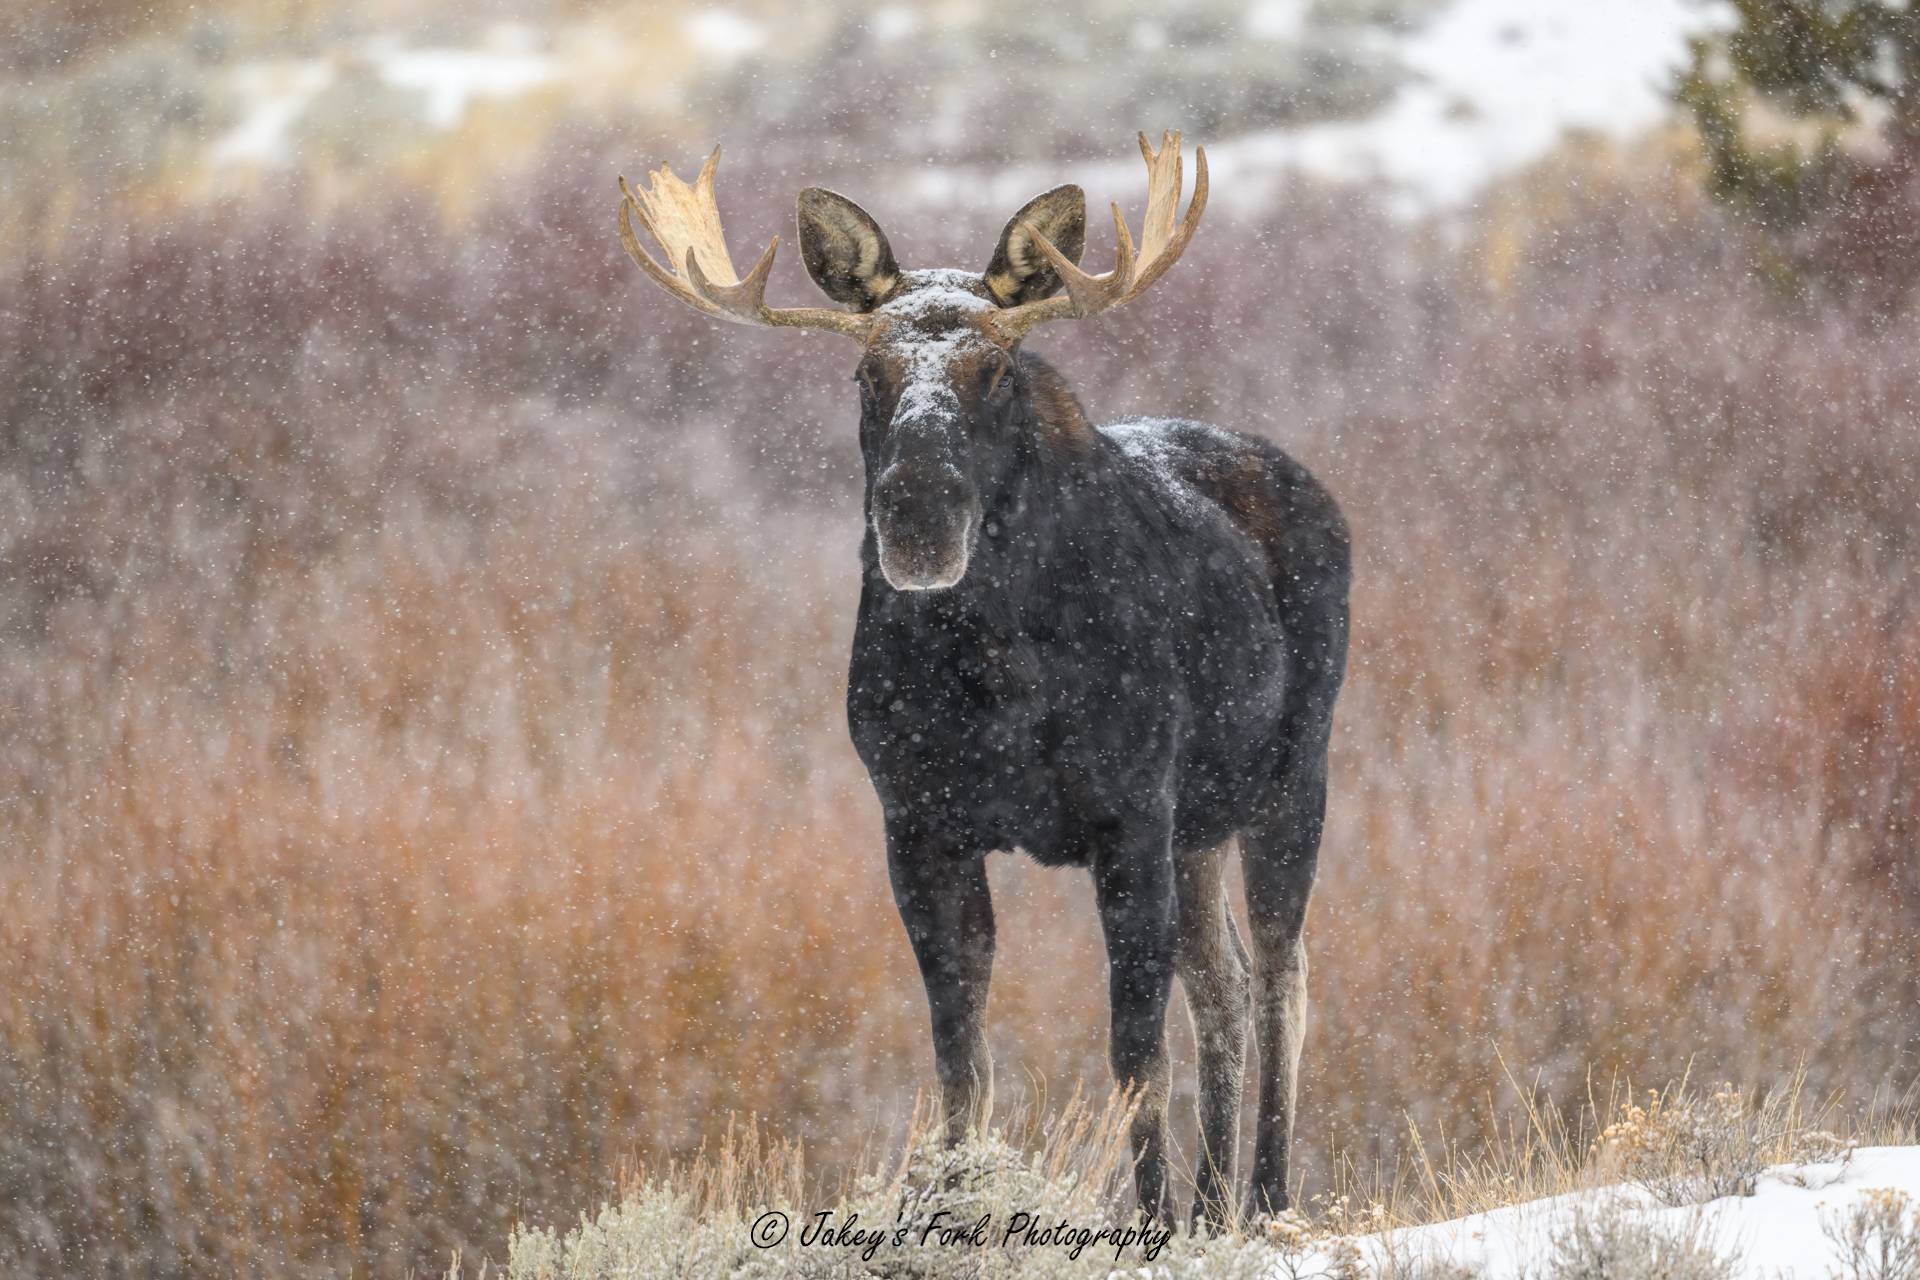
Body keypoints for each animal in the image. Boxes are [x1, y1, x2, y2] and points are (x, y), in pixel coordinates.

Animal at [616, 133, 1350, 1227]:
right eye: (867, 370)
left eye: (995, 366)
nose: (916, 515)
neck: (994, 674)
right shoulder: (920, 823)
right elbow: (961, 1059)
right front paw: (961, 1204)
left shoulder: (1130, 810)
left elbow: (1134, 1054)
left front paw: (1150, 1223)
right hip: (1204, 825)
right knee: (1221, 984)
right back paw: (1216, 1201)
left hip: (1293, 775)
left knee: (1277, 973)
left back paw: (1262, 1196)